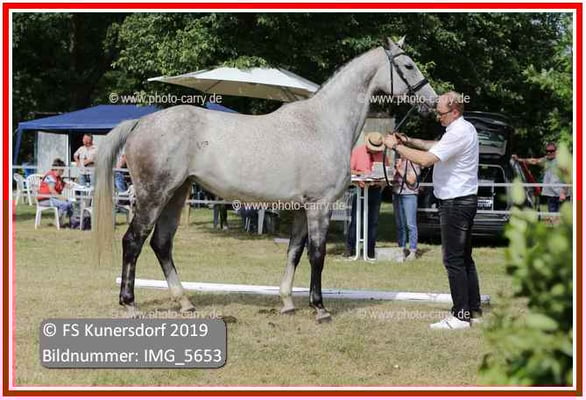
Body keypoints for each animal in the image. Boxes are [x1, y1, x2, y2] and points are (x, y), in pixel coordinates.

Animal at [94, 38, 437, 322]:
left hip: (177, 194)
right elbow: (317, 254)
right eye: (408, 65)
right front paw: (320, 308)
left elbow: (294, 252)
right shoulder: (320, 206)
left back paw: (185, 302)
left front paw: (287, 303)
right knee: (133, 241)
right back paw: (130, 303)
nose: (433, 102)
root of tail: (141, 122)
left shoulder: (302, 209)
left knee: (161, 243)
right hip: (155, 195)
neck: (323, 124)